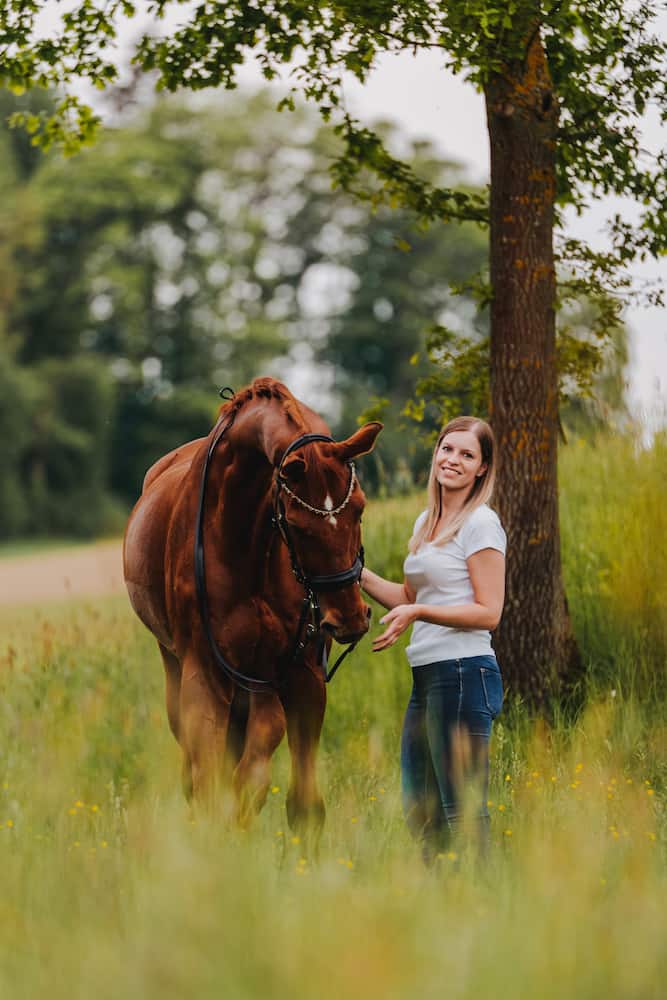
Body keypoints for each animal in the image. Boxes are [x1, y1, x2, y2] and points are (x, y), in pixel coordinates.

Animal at [123, 376, 382, 837]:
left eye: (360, 508)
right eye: (296, 524)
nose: (348, 619)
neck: (244, 541)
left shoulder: (299, 673)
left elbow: (300, 803)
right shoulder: (205, 676)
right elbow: (209, 783)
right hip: (178, 668)